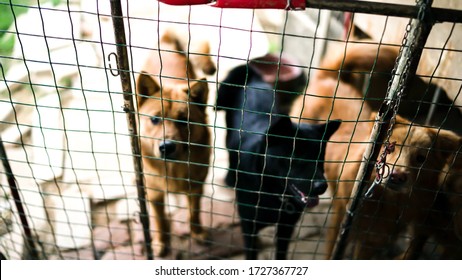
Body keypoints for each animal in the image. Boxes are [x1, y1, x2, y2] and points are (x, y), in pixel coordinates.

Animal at [134, 30, 213, 258]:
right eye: (154, 119)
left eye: (184, 120)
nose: (167, 146)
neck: (173, 169)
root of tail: (166, 41)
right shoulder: (154, 195)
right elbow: (159, 221)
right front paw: (160, 243)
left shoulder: (196, 188)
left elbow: (194, 213)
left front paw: (197, 232)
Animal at [217, 64, 340, 260]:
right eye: (295, 157)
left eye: (319, 157)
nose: (321, 186)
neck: (273, 193)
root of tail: (253, 77)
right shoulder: (249, 226)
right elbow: (251, 253)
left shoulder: (286, 227)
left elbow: (281, 252)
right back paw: (230, 178)